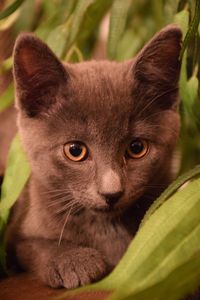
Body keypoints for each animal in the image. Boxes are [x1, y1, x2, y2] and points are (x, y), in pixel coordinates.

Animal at [5, 25, 182, 288]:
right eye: (75, 151)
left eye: (137, 147)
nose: (112, 193)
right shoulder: (18, 229)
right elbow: (34, 244)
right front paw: (73, 260)